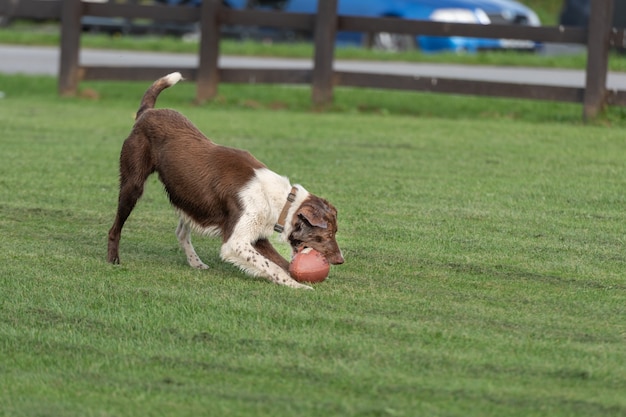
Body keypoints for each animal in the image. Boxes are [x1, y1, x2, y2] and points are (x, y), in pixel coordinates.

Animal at [106, 71, 342, 288]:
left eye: (334, 232)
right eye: (328, 234)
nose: (341, 261)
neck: (283, 201)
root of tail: (147, 112)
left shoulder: (256, 236)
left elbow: (280, 263)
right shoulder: (235, 241)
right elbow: (271, 266)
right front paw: (298, 286)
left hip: (189, 197)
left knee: (181, 231)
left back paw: (195, 262)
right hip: (133, 185)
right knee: (115, 228)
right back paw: (113, 259)